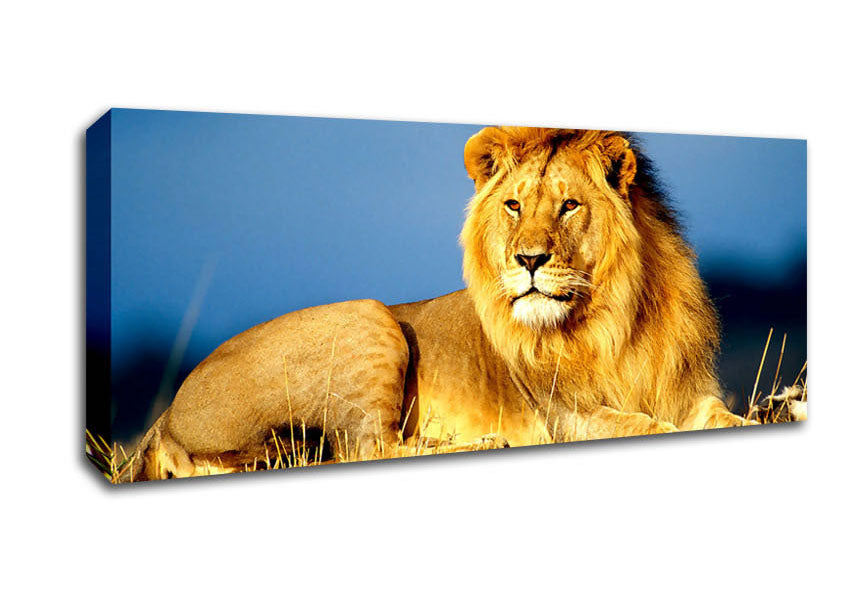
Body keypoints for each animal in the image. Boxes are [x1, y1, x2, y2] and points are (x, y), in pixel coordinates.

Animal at [121, 126, 805, 482]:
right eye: (513, 206)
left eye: (569, 205)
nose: (528, 260)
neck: (617, 318)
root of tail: (166, 416)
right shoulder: (568, 418)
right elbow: (646, 426)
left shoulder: (689, 392)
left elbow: (717, 417)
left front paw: (769, 413)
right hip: (369, 317)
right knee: (366, 449)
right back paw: (484, 445)